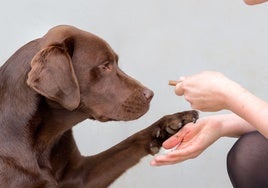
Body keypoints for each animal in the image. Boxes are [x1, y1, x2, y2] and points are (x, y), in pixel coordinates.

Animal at [0, 25, 197, 188]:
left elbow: (127, 143)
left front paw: (170, 124)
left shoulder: (81, 176)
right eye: (105, 66)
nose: (150, 94)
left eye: (115, 62)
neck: (44, 139)